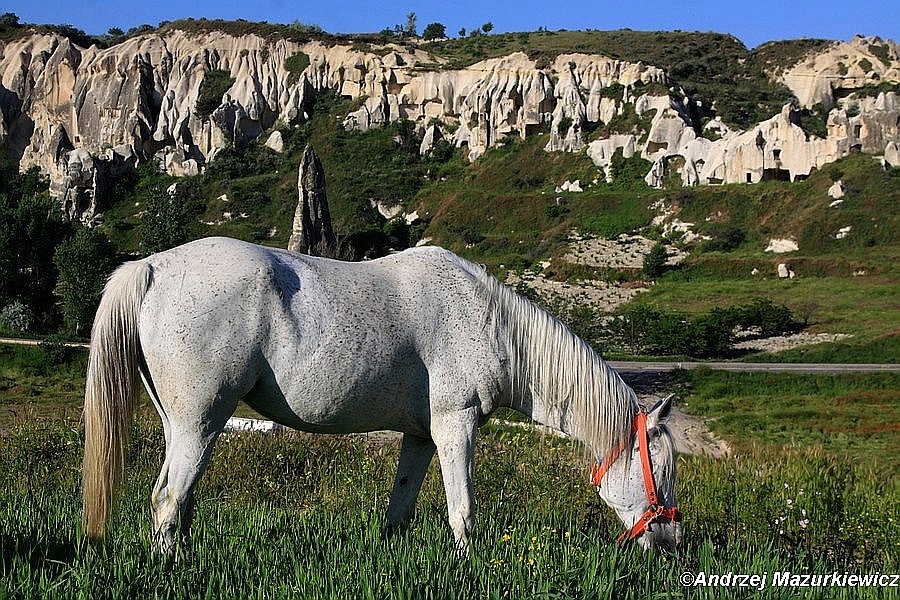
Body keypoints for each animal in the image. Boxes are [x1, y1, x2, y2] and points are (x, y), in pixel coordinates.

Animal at [82, 238, 684, 552]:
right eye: (662, 469)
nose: (673, 542)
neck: (489, 322)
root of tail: (152, 268)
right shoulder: (455, 425)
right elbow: (463, 511)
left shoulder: (421, 437)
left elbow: (400, 508)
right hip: (201, 422)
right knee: (169, 499)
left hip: (180, 424)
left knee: (169, 499)